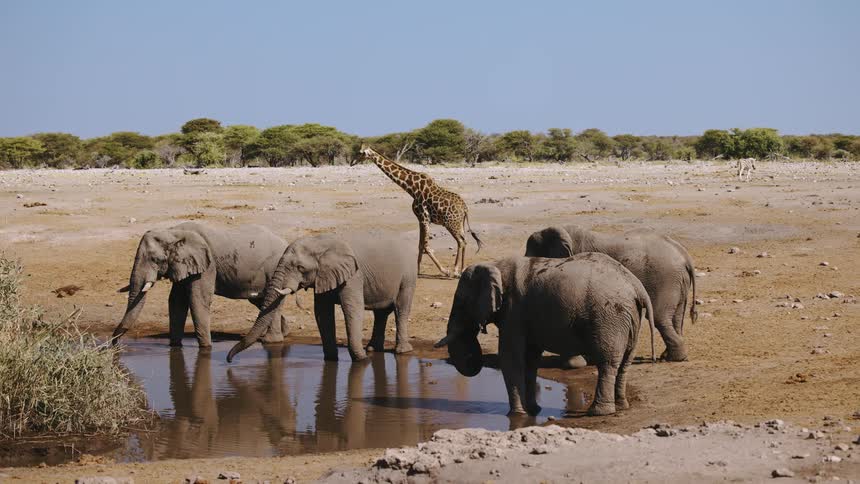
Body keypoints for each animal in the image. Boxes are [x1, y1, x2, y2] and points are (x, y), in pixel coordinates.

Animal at [112, 222, 290, 347]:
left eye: (155, 260)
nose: (113, 344)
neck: (172, 231)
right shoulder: (183, 265)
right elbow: (176, 301)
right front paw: (175, 346)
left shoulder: (207, 265)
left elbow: (197, 299)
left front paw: (206, 348)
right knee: (261, 301)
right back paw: (283, 333)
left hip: (275, 269)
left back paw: (271, 341)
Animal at [226, 232, 417, 363]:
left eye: (300, 267)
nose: (229, 360)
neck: (321, 242)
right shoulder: (324, 275)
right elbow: (322, 313)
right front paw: (331, 359)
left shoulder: (354, 275)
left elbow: (352, 308)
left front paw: (362, 360)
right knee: (381, 313)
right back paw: (372, 349)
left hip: (408, 277)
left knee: (401, 309)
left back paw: (402, 351)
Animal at [356, 145, 483, 277]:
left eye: (360, 153)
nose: (352, 162)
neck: (412, 188)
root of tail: (465, 208)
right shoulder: (420, 219)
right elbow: (420, 245)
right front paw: (417, 270)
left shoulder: (424, 218)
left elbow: (426, 246)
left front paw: (444, 271)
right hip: (459, 224)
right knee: (464, 241)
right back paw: (462, 270)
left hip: (450, 224)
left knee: (461, 242)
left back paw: (455, 270)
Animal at [435, 253, 655, 416]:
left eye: (461, 303)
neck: (495, 265)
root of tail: (636, 286)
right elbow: (530, 360)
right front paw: (533, 411)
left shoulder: (514, 311)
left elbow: (511, 358)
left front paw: (516, 415)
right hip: (628, 317)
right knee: (624, 362)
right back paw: (621, 406)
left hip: (609, 317)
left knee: (607, 362)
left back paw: (599, 412)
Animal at [525, 225, 696, 362]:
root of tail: (684, 255)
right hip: (678, 281)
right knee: (676, 317)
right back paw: (669, 356)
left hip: (665, 279)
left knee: (660, 317)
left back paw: (673, 358)